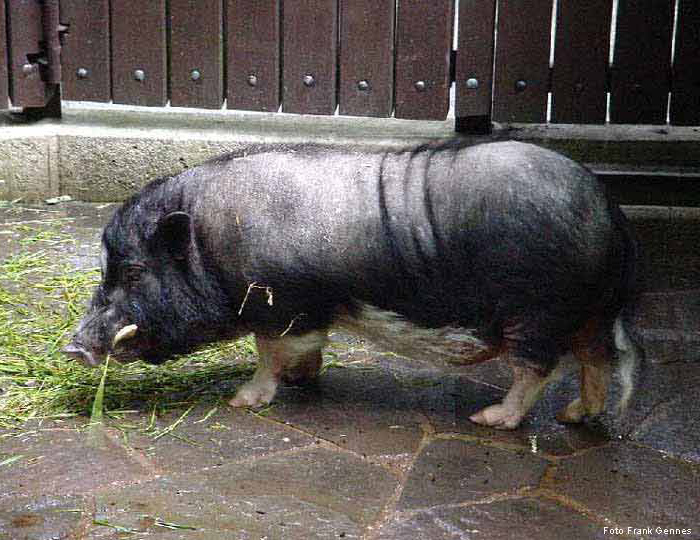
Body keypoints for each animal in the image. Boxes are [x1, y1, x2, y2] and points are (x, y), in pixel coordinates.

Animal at [63, 140, 644, 430]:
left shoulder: (281, 304)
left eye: (133, 272)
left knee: (539, 368)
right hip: (588, 311)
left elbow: (269, 354)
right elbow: (302, 350)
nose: (73, 346)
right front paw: (302, 382)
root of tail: (608, 211)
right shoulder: (306, 311)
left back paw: (490, 419)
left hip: (538, 311)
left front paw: (241, 402)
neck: (210, 242)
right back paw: (575, 417)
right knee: (596, 359)